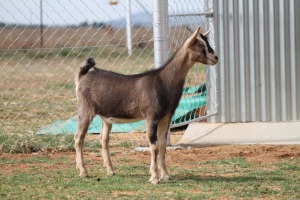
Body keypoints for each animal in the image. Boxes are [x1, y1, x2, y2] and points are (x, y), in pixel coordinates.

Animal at [74, 26, 217, 184]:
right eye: (200, 44)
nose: (216, 57)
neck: (163, 80)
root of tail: (83, 76)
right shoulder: (151, 116)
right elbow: (154, 145)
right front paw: (154, 177)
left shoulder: (166, 117)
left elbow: (162, 145)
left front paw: (165, 175)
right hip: (85, 109)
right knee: (79, 138)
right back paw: (83, 172)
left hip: (105, 118)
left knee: (103, 140)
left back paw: (110, 171)